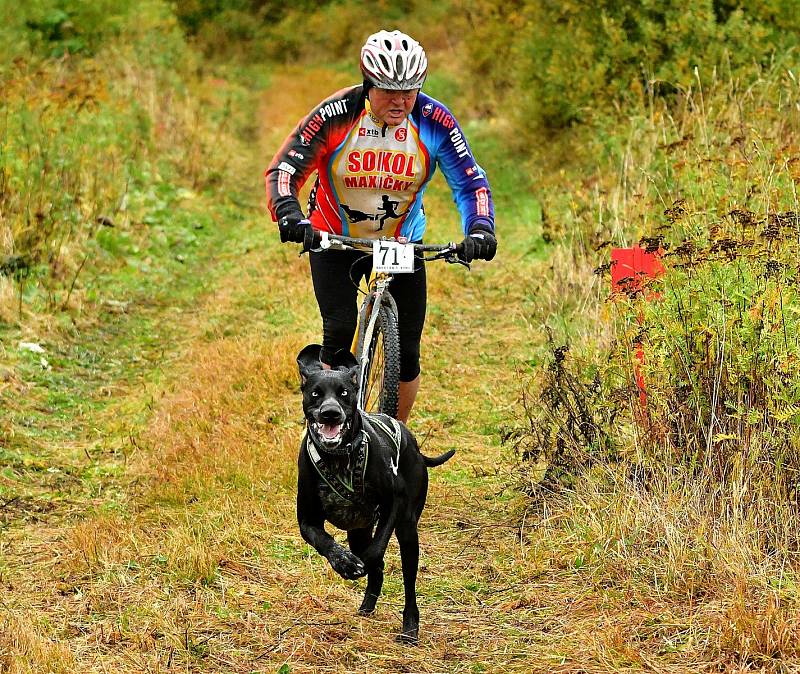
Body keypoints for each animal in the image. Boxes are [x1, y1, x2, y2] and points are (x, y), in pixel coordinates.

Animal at [296, 344, 456, 644]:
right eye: (316, 393)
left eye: (344, 393)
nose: (330, 413)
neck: (338, 458)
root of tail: (415, 445)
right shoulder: (307, 521)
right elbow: (324, 541)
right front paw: (343, 561)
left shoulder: (394, 503)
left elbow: (377, 548)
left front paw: (363, 562)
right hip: (358, 530)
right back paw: (366, 606)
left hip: (408, 530)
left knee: (407, 581)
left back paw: (410, 627)